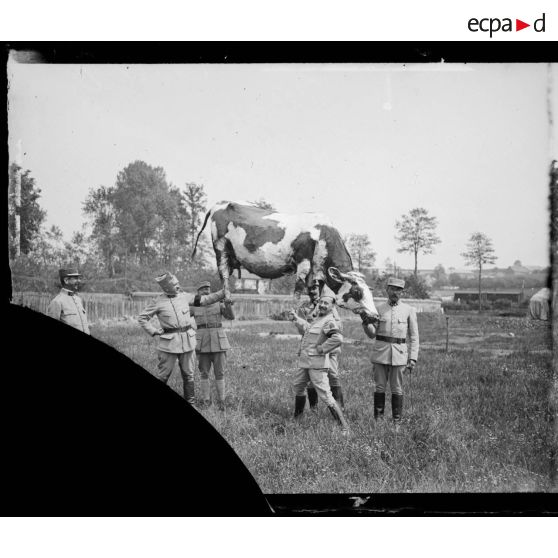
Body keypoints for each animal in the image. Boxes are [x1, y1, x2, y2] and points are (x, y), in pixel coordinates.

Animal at [192, 203, 380, 320]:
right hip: (221, 248)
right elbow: (298, 290)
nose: (375, 315)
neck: (323, 234)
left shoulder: (316, 269)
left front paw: (314, 314)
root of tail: (220, 203)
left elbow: (315, 293)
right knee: (223, 276)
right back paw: (229, 303)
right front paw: (293, 313)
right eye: (357, 292)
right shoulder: (303, 262)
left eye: (370, 292)